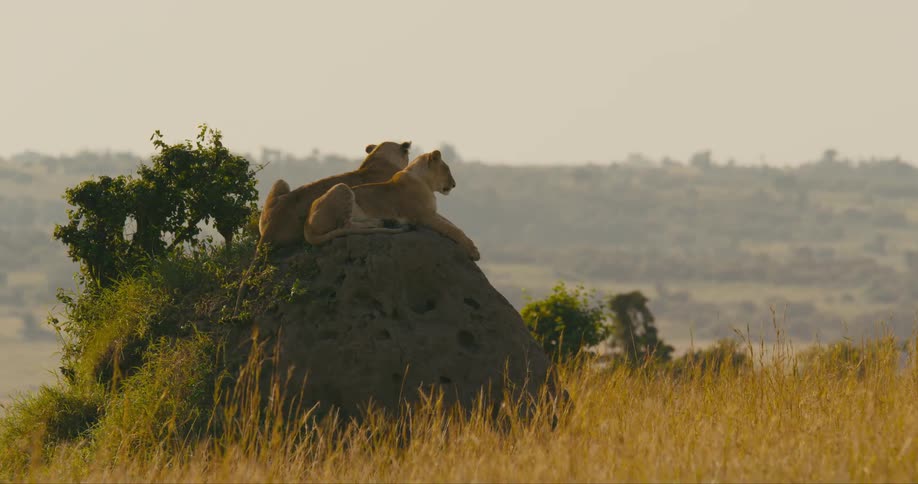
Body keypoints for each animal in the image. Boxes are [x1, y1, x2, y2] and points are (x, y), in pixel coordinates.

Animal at [303, 150, 480, 261]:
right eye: (447, 169)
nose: (454, 184)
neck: (426, 183)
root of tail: (307, 222)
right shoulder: (424, 216)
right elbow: (452, 230)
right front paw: (474, 252)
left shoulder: (432, 213)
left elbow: (454, 225)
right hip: (342, 187)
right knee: (344, 226)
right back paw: (382, 223)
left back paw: (384, 222)